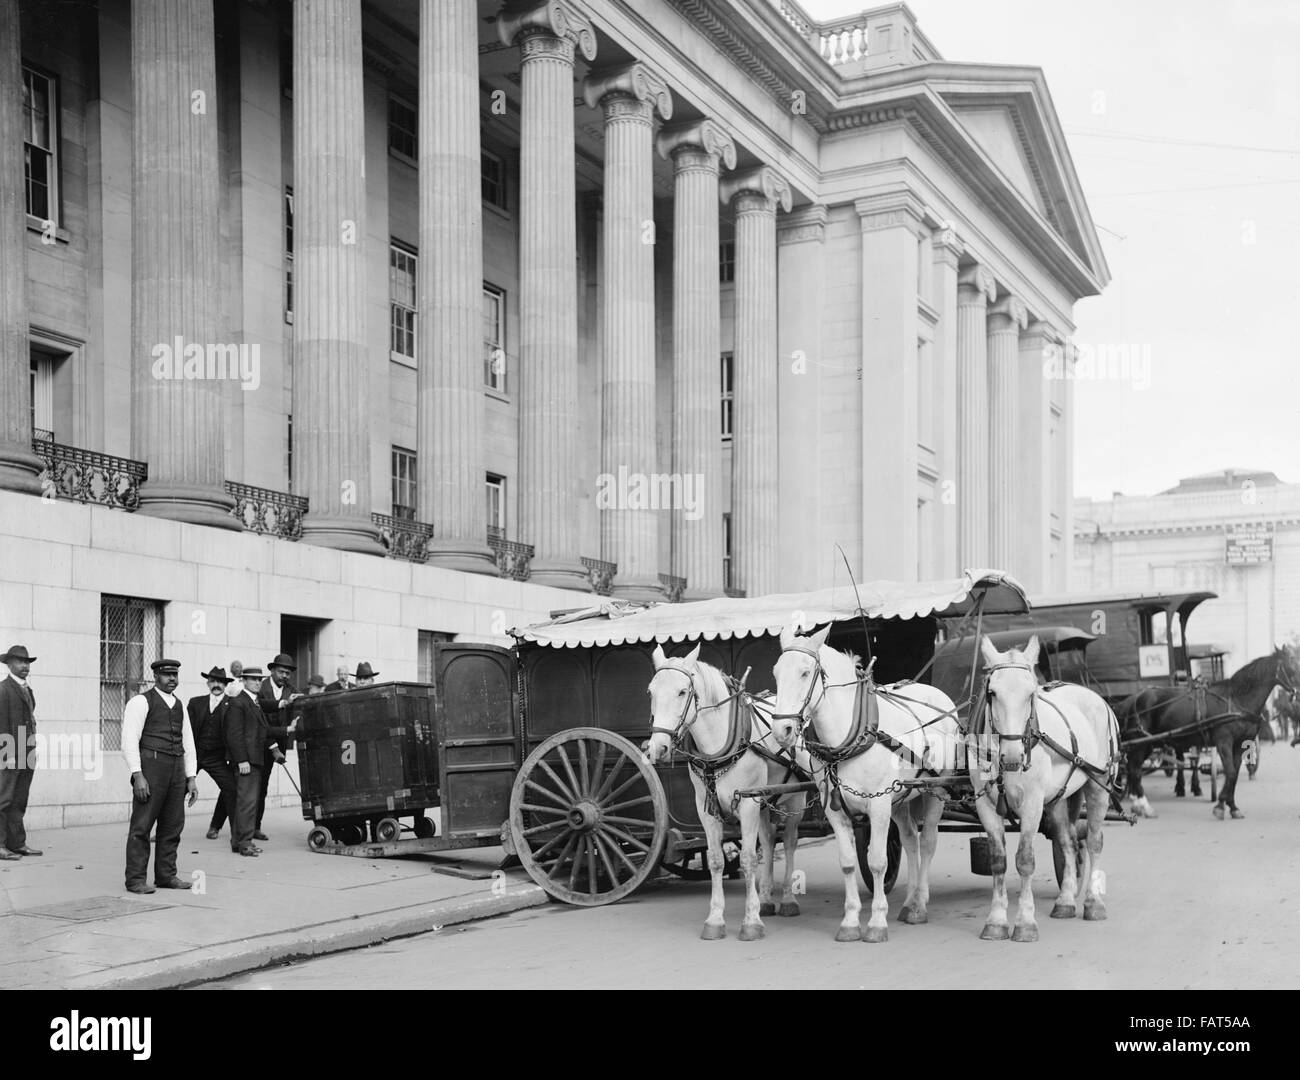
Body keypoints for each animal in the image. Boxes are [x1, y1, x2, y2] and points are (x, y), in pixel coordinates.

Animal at [644, 647, 806, 940]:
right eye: (651, 691)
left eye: (682, 691)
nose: (657, 748)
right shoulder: (706, 809)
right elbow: (716, 860)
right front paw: (715, 919)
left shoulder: (748, 803)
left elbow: (748, 859)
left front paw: (751, 921)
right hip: (765, 801)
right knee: (768, 840)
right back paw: (766, 899)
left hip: (794, 800)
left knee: (788, 842)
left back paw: (788, 899)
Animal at [769, 623, 967, 946]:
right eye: (775, 673)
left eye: (805, 672)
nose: (781, 730)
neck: (851, 738)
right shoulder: (836, 809)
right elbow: (848, 861)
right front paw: (850, 922)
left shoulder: (878, 804)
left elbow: (877, 861)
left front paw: (876, 922)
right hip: (900, 799)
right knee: (910, 841)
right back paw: (910, 900)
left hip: (934, 792)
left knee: (927, 842)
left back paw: (920, 904)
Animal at [972, 636, 1123, 940]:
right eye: (992, 693)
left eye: (1031, 694)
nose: (1013, 756)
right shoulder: (985, 805)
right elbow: (998, 861)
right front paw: (996, 921)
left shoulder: (1032, 802)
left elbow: (1025, 860)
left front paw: (1025, 922)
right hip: (1059, 798)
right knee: (1067, 841)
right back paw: (1065, 901)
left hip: (1098, 786)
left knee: (1093, 841)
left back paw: (1093, 903)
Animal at [1123, 649, 1294, 821]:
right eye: (1292, 664)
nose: (1295, 694)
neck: (1235, 701)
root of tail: (1136, 698)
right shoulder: (1224, 742)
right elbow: (1230, 772)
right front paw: (1220, 805)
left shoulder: (1239, 745)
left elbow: (1234, 774)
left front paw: (1232, 807)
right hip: (1141, 742)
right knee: (1135, 769)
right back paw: (1144, 806)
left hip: (1148, 744)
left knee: (1132, 767)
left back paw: (1137, 803)